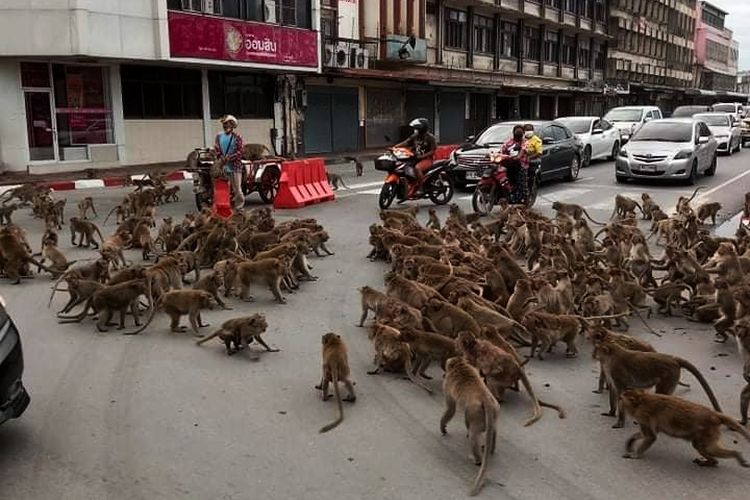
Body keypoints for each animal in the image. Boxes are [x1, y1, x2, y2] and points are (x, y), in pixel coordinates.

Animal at [440, 356, 500, 496]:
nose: (444, 373)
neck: (460, 365)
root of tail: (486, 400)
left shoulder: (447, 384)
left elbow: (451, 409)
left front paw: (442, 427)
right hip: (495, 409)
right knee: (492, 429)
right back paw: (490, 448)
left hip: (476, 413)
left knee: (473, 435)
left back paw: (477, 460)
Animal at [596, 336, 724, 426]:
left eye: (597, 350)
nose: (593, 354)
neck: (612, 355)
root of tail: (673, 359)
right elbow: (613, 391)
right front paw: (611, 412)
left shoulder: (616, 371)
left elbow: (620, 393)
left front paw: (620, 421)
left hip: (670, 375)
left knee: (663, 394)